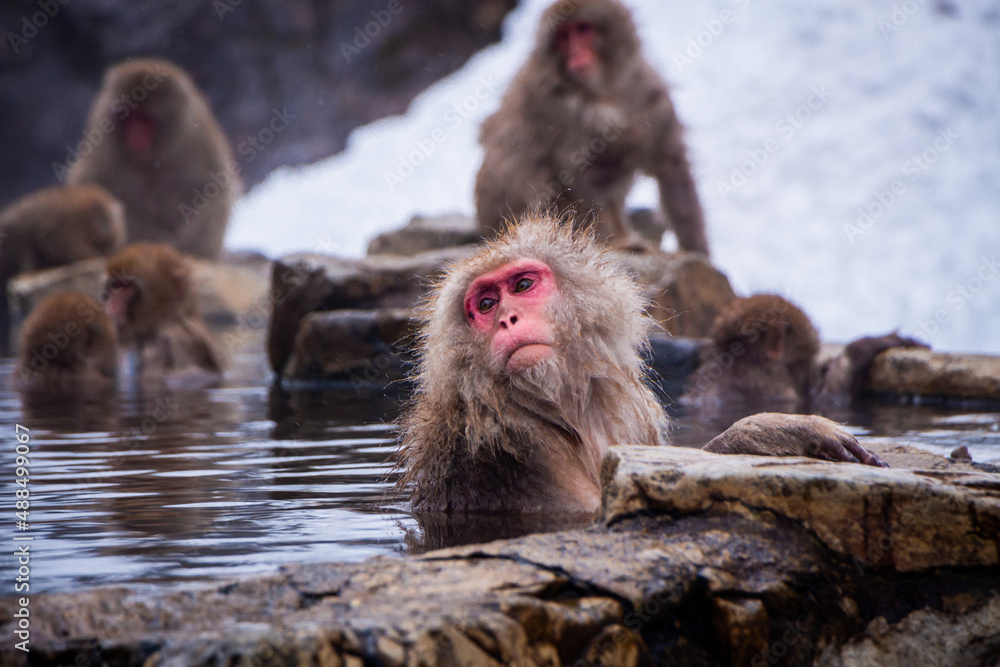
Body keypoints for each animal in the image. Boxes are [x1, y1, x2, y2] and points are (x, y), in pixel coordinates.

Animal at [67, 58, 241, 259]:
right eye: (128, 116)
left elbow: (214, 189)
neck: (154, 154)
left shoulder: (200, 139)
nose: (133, 134)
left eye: (144, 120)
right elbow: (92, 186)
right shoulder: (103, 140)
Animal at [396, 214, 884, 514]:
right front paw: (766, 431)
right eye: (485, 304)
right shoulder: (499, 450)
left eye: (521, 285)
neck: (556, 408)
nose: (506, 319)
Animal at [474, 0, 708, 254]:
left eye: (582, 29)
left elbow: (669, 164)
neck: (605, 90)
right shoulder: (556, 106)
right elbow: (577, 177)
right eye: (564, 37)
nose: (575, 53)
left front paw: (698, 249)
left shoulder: (648, 90)